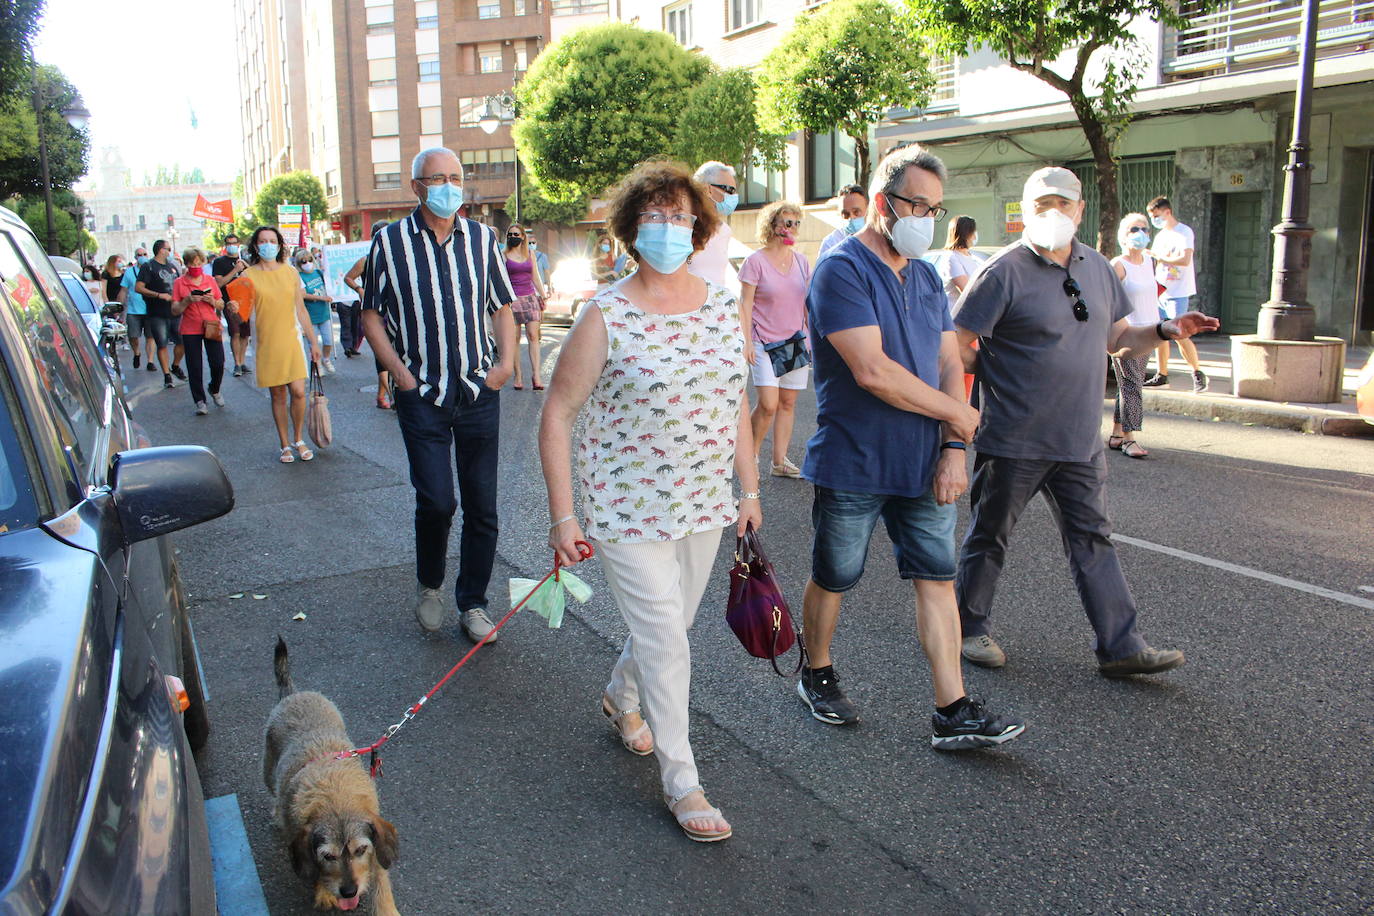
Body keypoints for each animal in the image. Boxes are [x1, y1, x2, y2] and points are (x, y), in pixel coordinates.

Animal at [263, 637, 401, 916]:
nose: (348, 891)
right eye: (328, 856)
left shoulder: (376, 846)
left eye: (361, 849)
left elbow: (381, 880)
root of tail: (293, 693)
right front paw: (325, 891)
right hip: (268, 768)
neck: (335, 799)